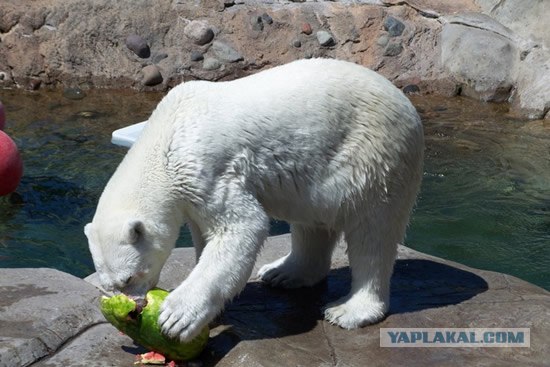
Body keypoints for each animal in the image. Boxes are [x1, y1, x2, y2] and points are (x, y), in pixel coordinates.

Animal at [85, 57, 422, 342]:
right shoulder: (191, 194)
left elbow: (242, 226)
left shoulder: (207, 170)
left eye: (130, 277)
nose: (134, 306)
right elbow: (206, 235)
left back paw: (349, 310)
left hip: (375, 157)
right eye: (110, 285)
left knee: (372, 232)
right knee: (312, 219)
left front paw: (176, 316)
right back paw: (284, 273)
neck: (166, 135)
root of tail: (407, 105)